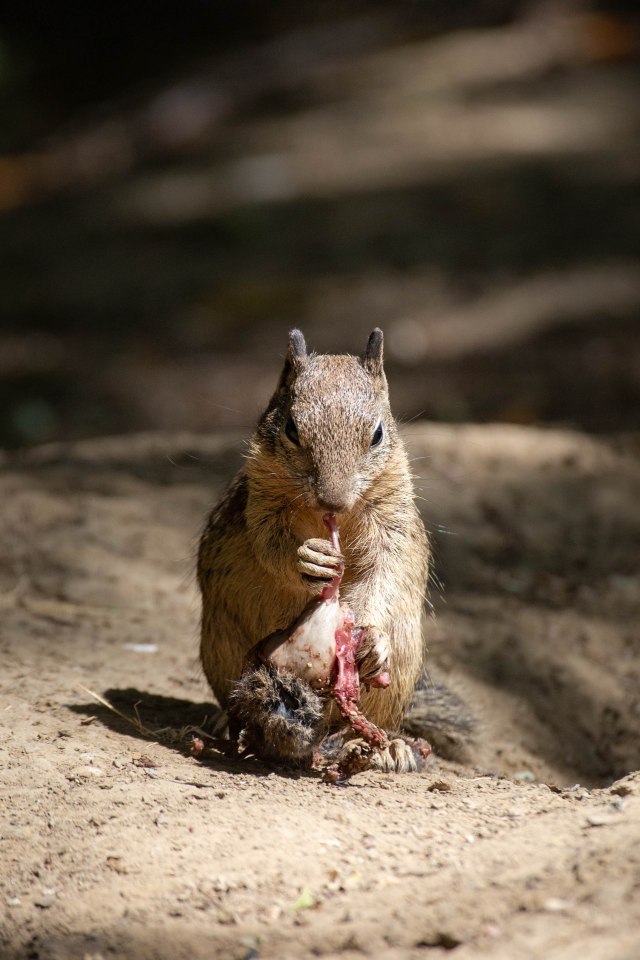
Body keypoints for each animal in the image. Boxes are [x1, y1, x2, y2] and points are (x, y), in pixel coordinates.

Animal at [198, 330, 462, 772]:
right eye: (291, 428)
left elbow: (385, 571)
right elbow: (269, 544)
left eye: (377, 434)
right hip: (222, 646)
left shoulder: (392, 521)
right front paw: (308, 560)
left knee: (366, 723)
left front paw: (373, 640)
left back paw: (389, 746)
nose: (333, 501)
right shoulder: (261, 504)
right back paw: (225, 720)